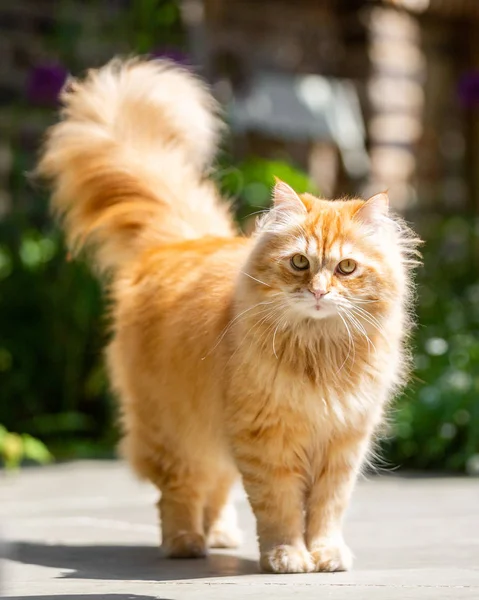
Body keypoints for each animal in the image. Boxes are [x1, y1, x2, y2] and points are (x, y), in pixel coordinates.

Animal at [36, 58, 420, 576]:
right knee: (179, 492)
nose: (319, 292)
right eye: (300, 263)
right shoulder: (266, 437)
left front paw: (326, 554)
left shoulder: (342, 443)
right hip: (174, 430)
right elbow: (279, 506)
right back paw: (185, 543)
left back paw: (218, 535)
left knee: (215, 487)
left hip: (212, 430)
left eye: (346, 268)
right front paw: (286, 556)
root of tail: (178, 241)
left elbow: (326, 509)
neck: (318, 352)